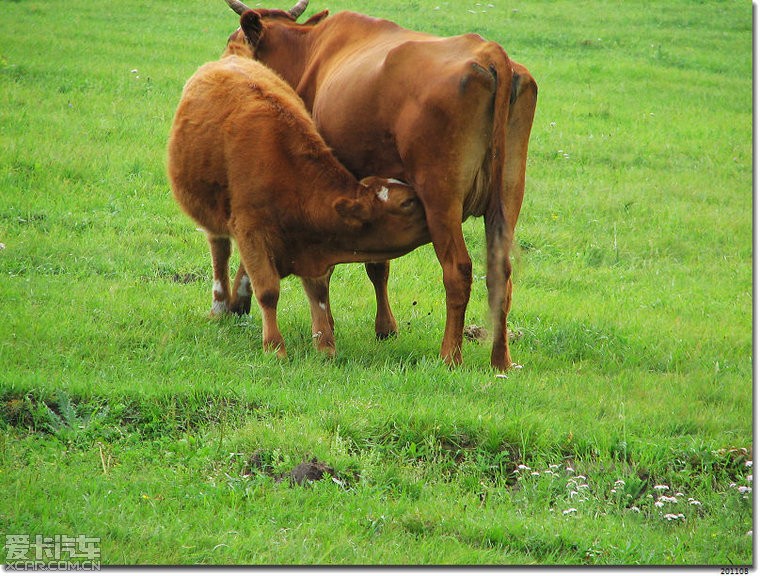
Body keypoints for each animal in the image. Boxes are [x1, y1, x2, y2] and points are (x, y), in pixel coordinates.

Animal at [168, 55, 430, 360]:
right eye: (407, 203)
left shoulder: (311, 247)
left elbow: (318, 294)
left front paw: (325, 346)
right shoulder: (250, 229)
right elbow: (268, 290)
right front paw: (274, 347)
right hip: (214, 218)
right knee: (220, 252)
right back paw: (220, 306)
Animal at [223, 0, 536, 368]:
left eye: (235, 41)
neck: (307, 53)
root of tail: (490, 52)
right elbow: (376, 262)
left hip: (440, 196)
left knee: (457, 270)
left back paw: (449, 356)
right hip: (509, 193)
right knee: (502, 273)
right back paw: (501, 359)